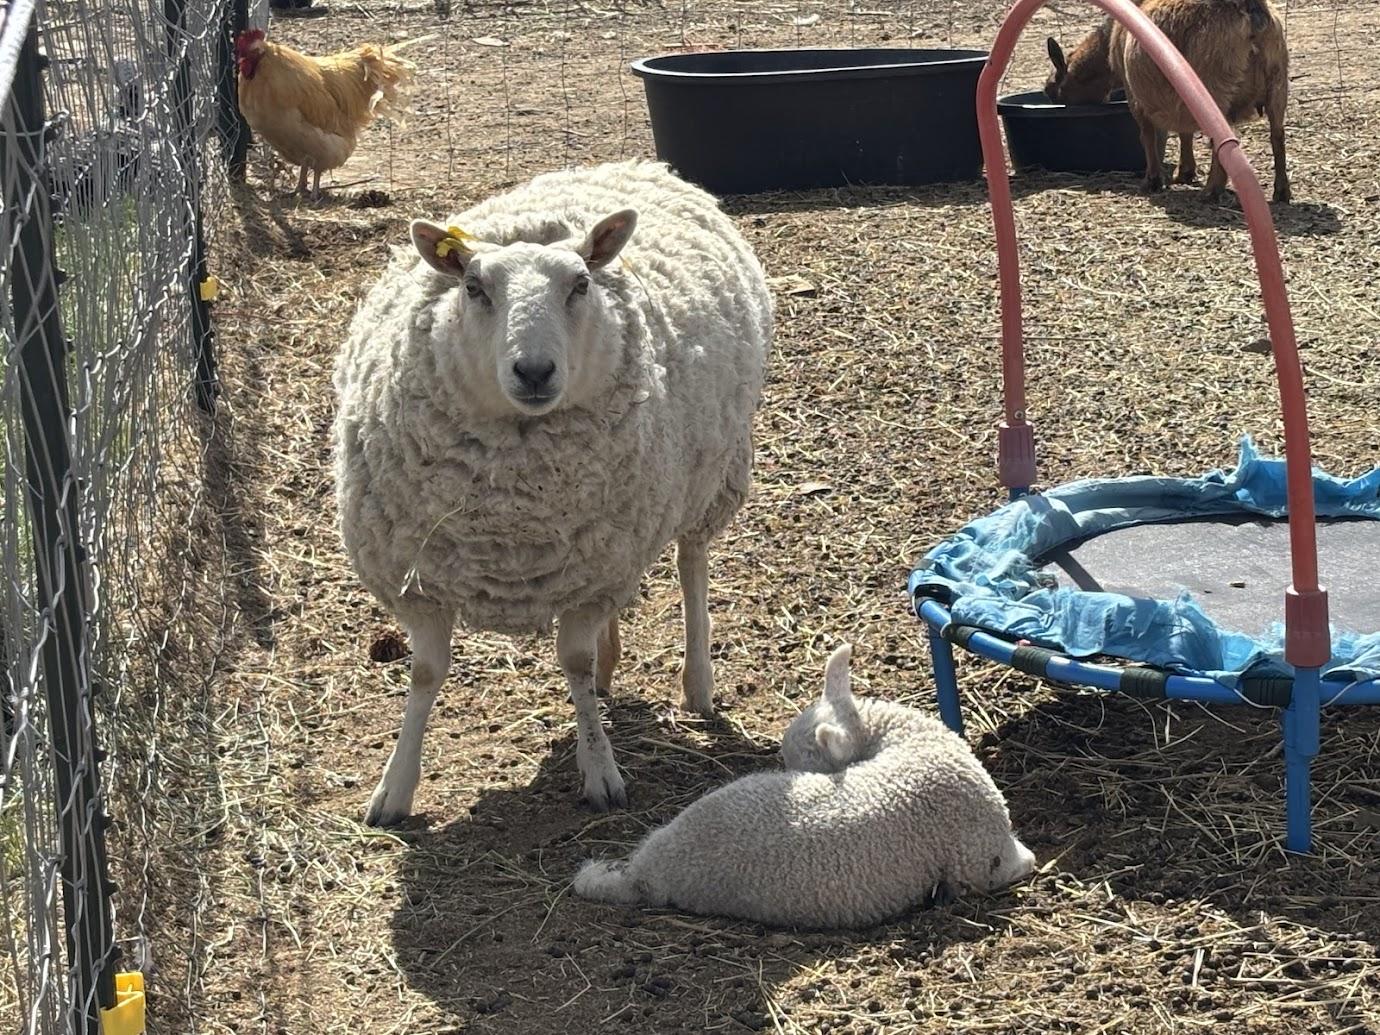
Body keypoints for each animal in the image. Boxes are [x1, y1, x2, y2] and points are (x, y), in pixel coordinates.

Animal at [332, 159, 773, 826]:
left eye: (581, 285)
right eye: (474, 288)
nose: (534, 372)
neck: (511, 522)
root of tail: (638, 164)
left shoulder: (591, 578)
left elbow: (574, 662)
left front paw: (601, 772)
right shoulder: (422, 580)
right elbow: (427, 673)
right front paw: (394, 789)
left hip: (710, 473)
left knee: (691, 563)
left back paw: (697, 683)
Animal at [1044, 0, 1289, 203]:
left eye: (1053, 90)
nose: (1050, 95)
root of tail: (1252, 12)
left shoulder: (1136, 95)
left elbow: (1147, 136)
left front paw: (1152, 181)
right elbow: (1184, 132)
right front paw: (1185, 173)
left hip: (1216, 88)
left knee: (1224, 140)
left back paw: (1211, 191)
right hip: (1277, 83)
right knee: (1277, 136)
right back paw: (1281, 191)